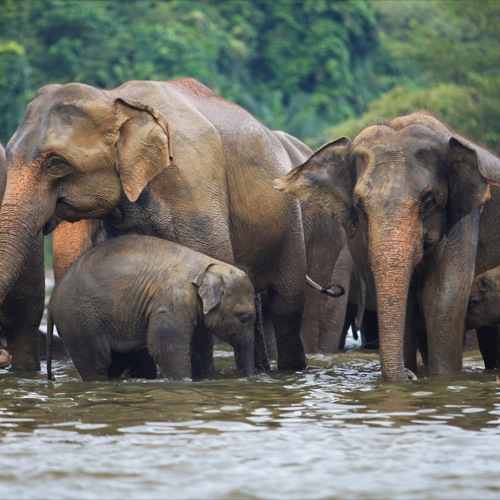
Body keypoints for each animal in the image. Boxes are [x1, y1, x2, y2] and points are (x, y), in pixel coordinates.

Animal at [47, 234, 256, 382]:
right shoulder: (171, 305)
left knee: (116, 361)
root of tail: (52, 300)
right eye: (244, 318)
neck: (207, 267)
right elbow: (165, 349)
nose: (246, 379)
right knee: (97, 364)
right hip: (79, 321)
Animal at [274, 111, 500, 380]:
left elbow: (443, 300)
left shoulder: (464, 219)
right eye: (359, 205)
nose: (410, 376)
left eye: (428, 201)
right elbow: (406, 308)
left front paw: (441, 379)